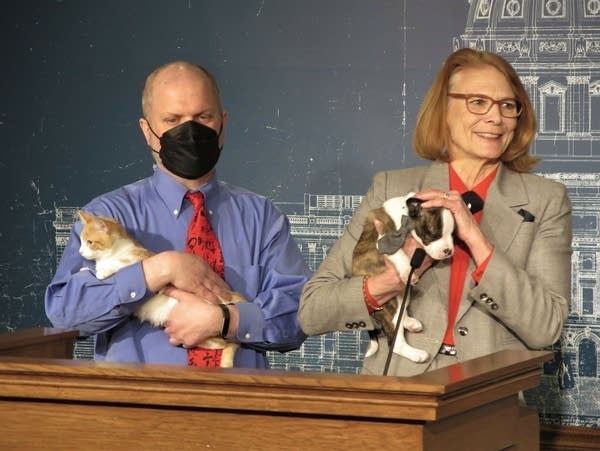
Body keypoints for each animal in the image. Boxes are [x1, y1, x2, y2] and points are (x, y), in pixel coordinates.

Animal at [78, 211, 244, 368]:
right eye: (80, 241)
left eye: (89, 242)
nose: (80, 252)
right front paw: (86, 270)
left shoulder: (141, 259)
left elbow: (121, 263)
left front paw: (103, 270)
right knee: (220, 343)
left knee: (227, 342)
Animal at [352, 193, 454, 364]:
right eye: (434, 235)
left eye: (453, 234)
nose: (449, 251)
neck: (405, 213)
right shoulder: (385, 240)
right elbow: (399, 255)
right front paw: (408, 272)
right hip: (389, 304)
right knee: (395, 342)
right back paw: (418, 354)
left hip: (400, 295)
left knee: (402, 310)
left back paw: (410, 322)